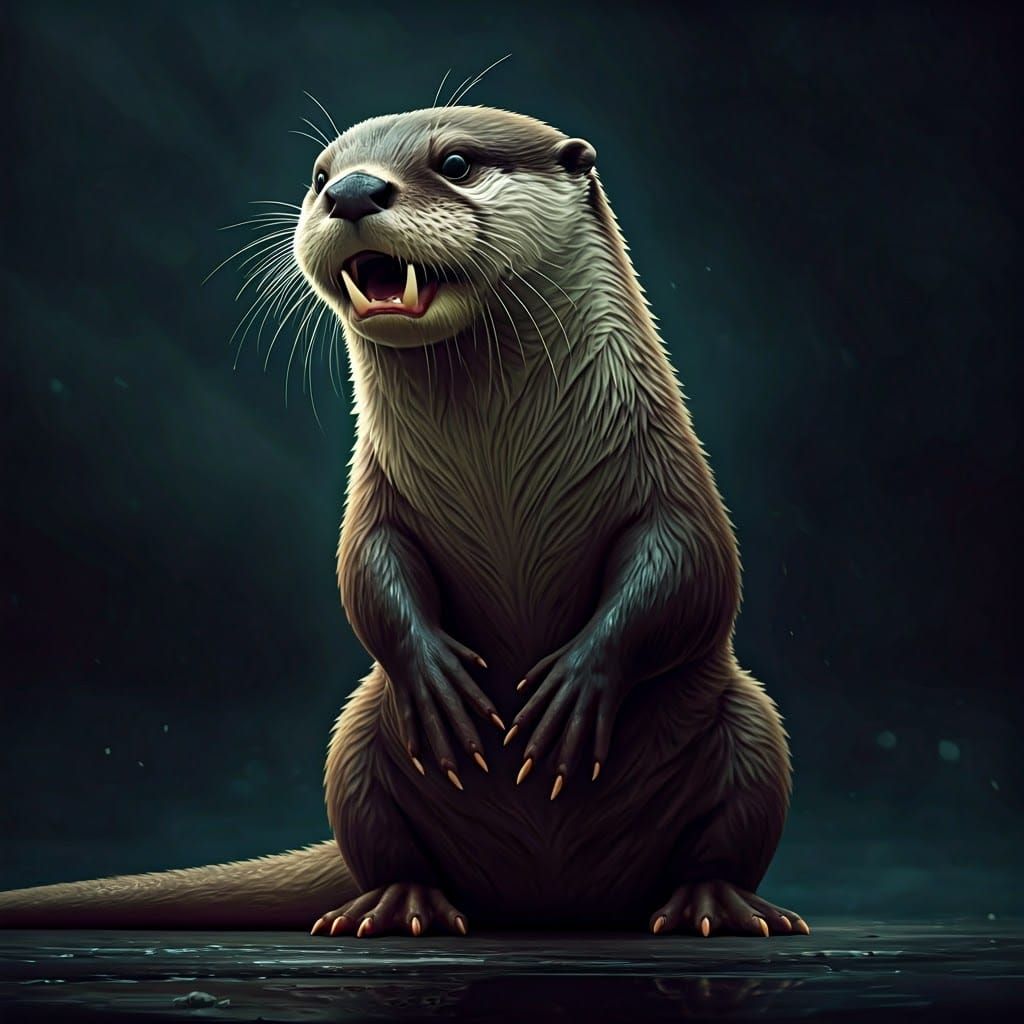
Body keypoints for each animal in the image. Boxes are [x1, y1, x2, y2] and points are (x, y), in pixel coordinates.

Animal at [0, 105, 808, 939]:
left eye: (454, 162)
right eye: (320, 174)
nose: (353, 191)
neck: (499, 458)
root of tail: (549, 901)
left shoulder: (672, 473)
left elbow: (694, 574)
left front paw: (575, 683)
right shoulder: (373, 496)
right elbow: (366, 573)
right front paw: (435, 676)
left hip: (754, 727)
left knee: (734, 824)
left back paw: (713, 904)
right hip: (355, 740)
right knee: (382, 837)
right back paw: (398, 904)